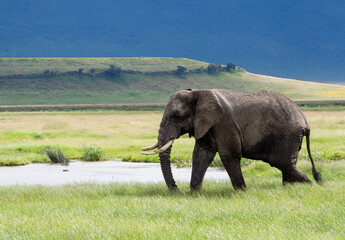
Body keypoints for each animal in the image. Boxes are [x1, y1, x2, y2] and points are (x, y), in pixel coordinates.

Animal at [139, 89, 320, 190]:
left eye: (176, 117)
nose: (176, 189)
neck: (197, 92)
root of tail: (305, 120)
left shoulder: (223, 122)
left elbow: (228, 155)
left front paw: (242, 192)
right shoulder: (207, 125)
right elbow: (200, 155)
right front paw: (194, 193)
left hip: (287, 135)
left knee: (280, 162)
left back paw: (311, 186)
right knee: (287, 164)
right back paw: (291, 188)